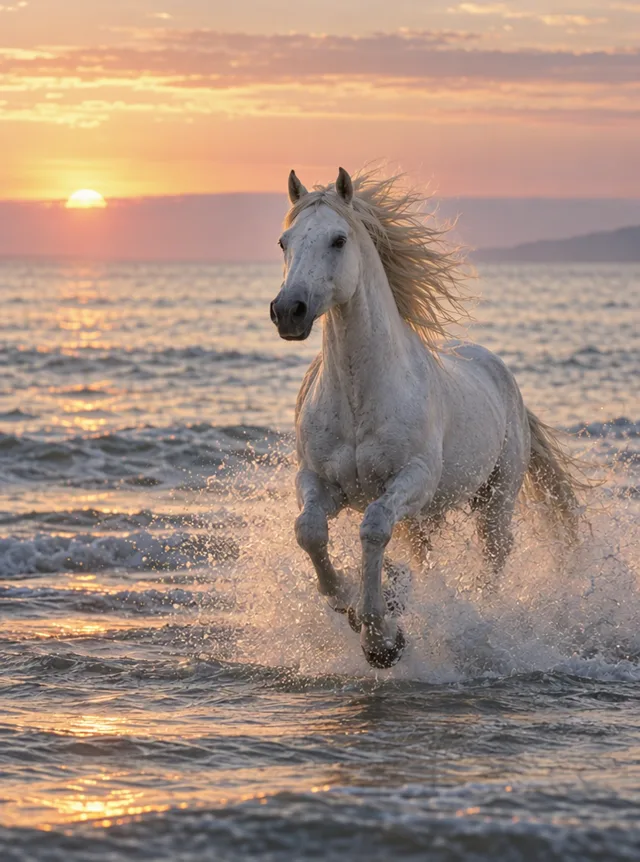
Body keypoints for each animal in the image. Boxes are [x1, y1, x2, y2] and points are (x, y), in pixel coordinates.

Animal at [269, 167, 581, 669]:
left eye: (338, 239)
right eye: (284, 241)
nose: (288, 311)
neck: (360, 395)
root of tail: (498, 371)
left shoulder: (411, 479)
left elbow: (374, 528)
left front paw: (381, 639)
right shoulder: (318, 480)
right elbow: (310, 532)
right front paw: (355, 602)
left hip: (494, 500)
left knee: (494, 557)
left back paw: (481, 620)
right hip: (425, 517)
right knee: (426, 554)